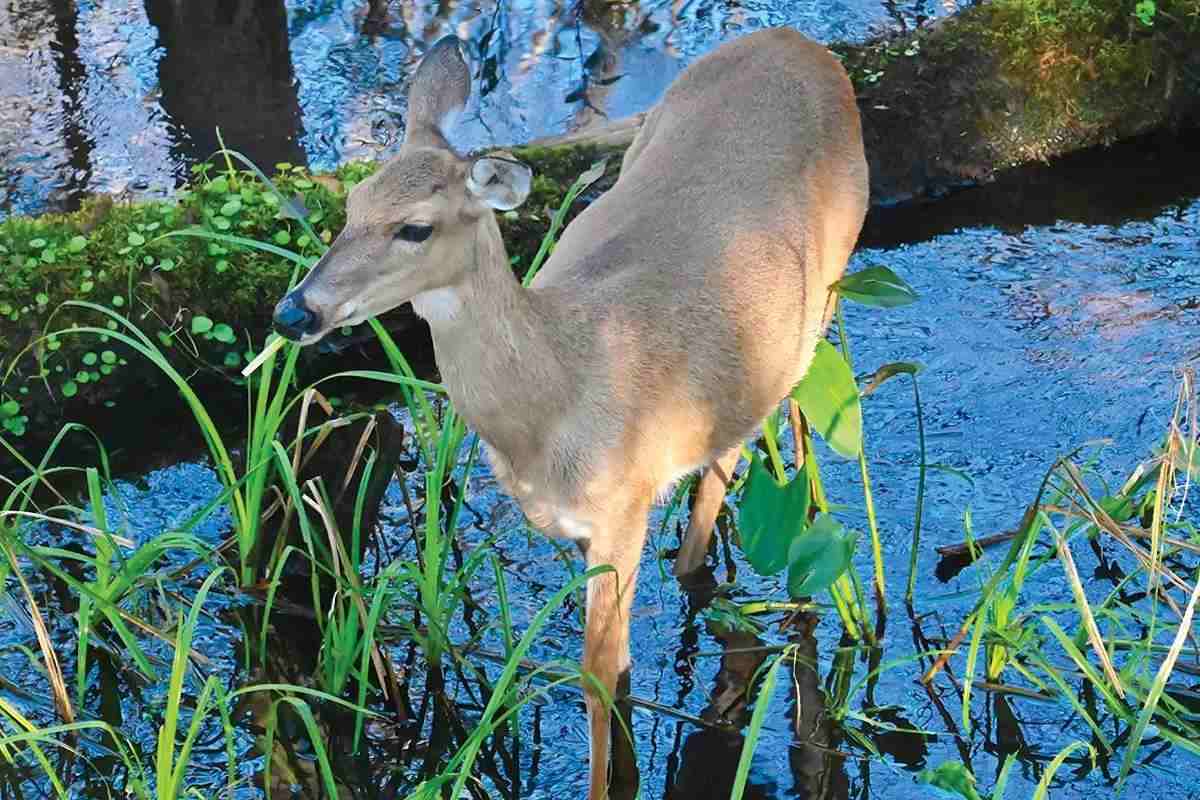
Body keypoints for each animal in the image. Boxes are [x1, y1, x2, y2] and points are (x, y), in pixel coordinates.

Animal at [271, 27, 867, 800]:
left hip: (829, 285)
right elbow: (619, 670)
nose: (294, 312)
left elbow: (595, 676)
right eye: (350, 205)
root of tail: (800, 42)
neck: (562, 392)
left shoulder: (622, 508)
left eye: (415, 228)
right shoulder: (583, 531)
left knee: (773, 432)